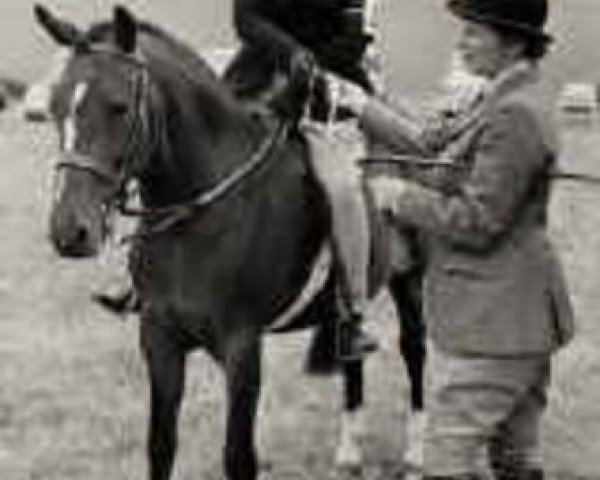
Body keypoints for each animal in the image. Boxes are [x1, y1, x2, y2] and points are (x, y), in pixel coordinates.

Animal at [37, 4, 424, 480]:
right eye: (56, 108)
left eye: (118, 107)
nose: (69, 232)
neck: (202, 212)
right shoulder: (160, 339)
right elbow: (160, 447)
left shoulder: (242, 349)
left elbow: (238, 457)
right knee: (353, 363)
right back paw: (349, 453)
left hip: (411, 281)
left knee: (414, 352)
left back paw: (415, 455)